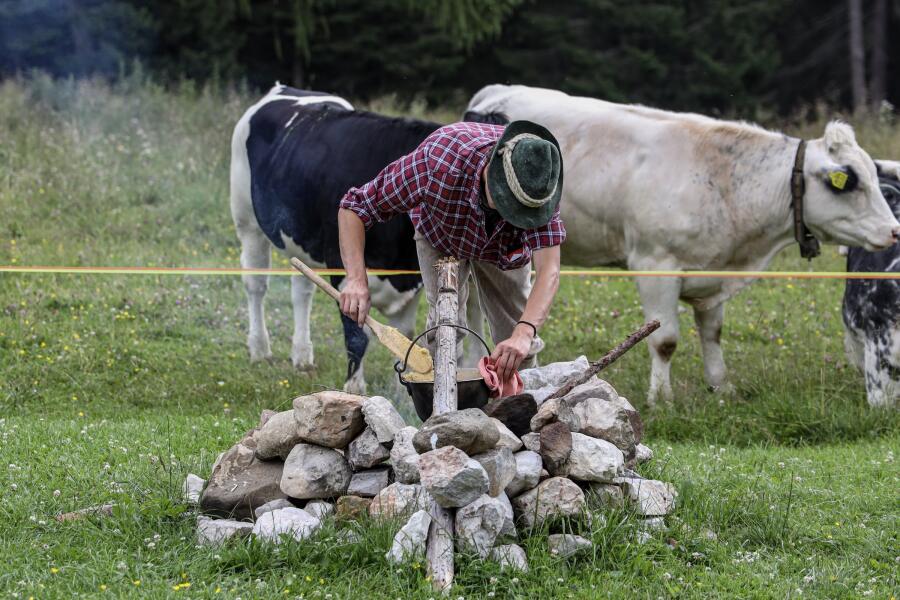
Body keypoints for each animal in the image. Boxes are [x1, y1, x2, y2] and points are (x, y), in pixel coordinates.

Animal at [230, 84, 441, 393]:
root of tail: (284, 88)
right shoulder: (343, 268)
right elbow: (357, 337)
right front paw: (354, 389)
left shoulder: (410, 282)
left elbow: (405, 336)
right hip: (247, 222)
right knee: (256, 285)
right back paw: (259, 350)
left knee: (301, 292)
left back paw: (302, 356)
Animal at [465, 84, 900, 404]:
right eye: (846, 180)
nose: (893, 231)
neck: (724, 181)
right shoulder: (655, 264)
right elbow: (665, 341)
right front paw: (661, 398)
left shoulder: (713, 273)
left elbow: (712, 333)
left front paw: (721, 387)